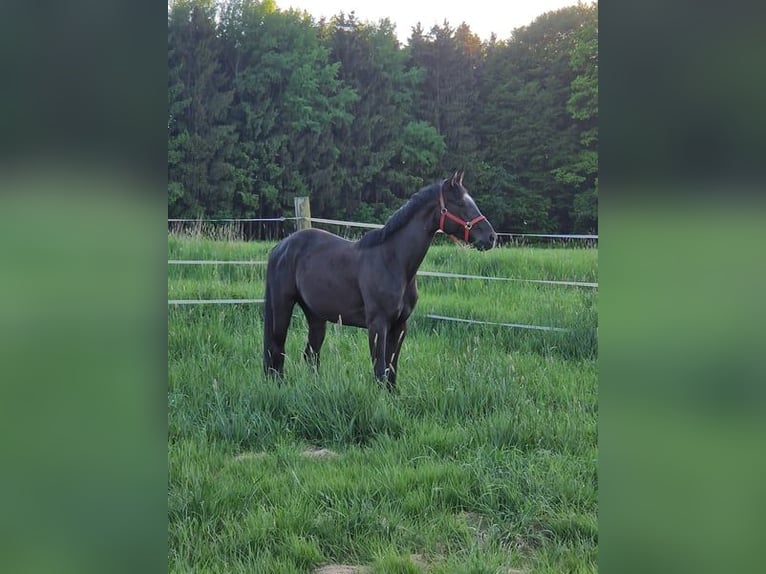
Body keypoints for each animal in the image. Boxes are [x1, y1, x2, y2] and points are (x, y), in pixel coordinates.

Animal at [262, 171, 496, 391]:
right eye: (460, 203)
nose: (491, 237)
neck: (393, 261)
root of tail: (280, 247)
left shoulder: (400, 326)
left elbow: (391, 369)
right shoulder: (378, 325)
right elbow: (380, 369)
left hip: (316, 316)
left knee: (311, 354)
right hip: (282, 308)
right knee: (277, 350)